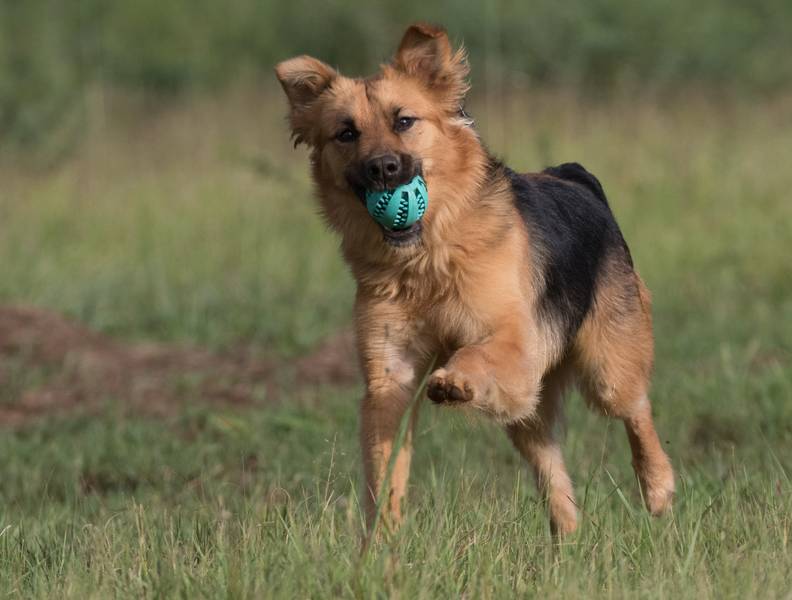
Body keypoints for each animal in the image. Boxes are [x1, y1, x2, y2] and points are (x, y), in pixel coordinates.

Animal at [275, 23, 674, 536]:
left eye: (404, 121)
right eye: (346, 133)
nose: (382, 168)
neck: (427, 259)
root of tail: (574, 175)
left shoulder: (515, 341)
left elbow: (476, 352)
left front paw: (455, 381)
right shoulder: (389, 378)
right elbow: (385, 468)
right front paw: (381, 540)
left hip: (608, 367)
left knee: (637, 410)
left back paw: (658, 488)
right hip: (530, 413)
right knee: (550, 467)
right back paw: (566, 534)